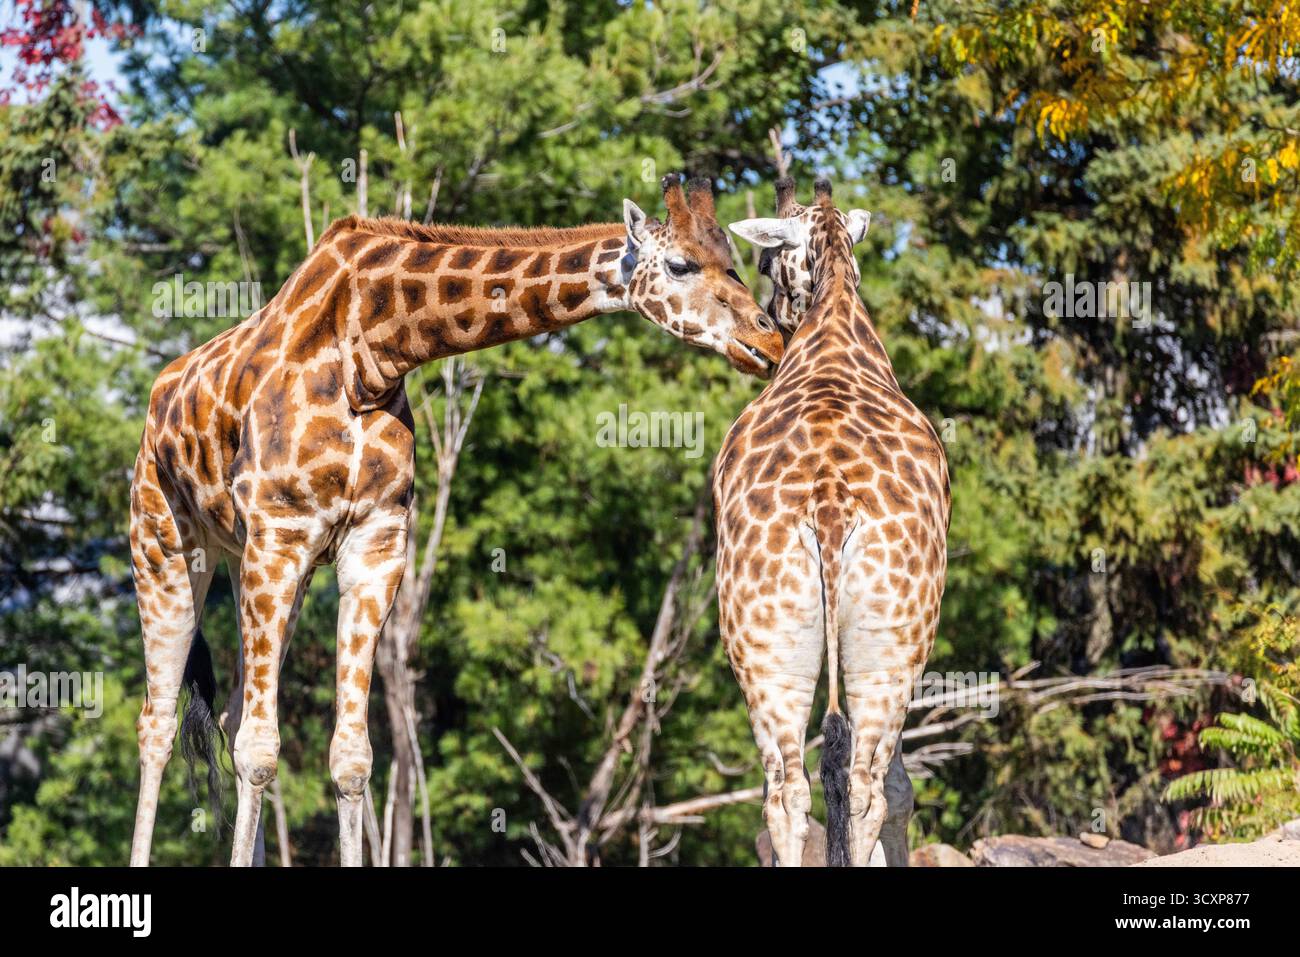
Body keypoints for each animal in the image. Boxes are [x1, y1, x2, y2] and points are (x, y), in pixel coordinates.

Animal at [128, 174, 783, 867]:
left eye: (734, 261)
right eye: (681, 265)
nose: (769, 339)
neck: (371, 351)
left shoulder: (374, 543)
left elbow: (351, 758)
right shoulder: (282, 533)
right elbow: (261, 749)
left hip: (254, 561)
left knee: (228, 717)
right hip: (167, 544)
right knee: (158, 723)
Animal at [718, 178, 950, 867]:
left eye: (763, 262)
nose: (770, 333)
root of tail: (828, 504)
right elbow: (896, 790)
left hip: (768, 644)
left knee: (790, 792)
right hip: (891, 644)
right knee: (865, 787)